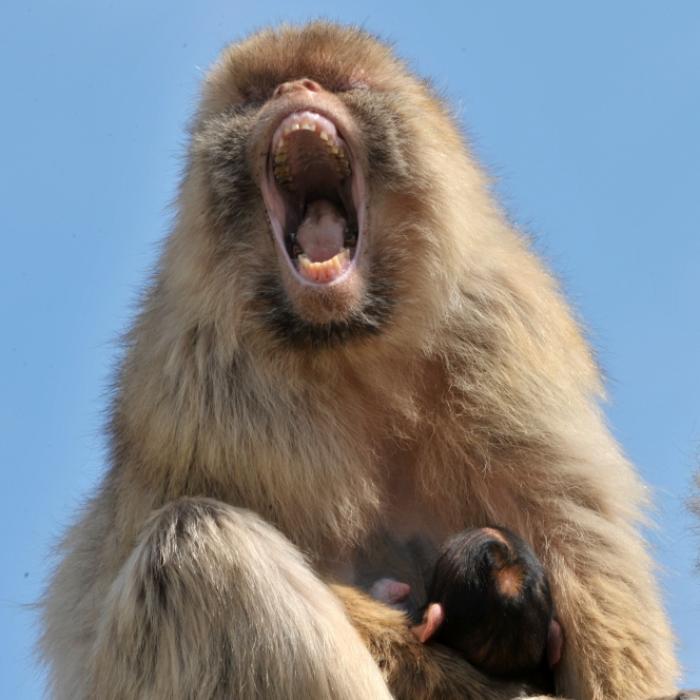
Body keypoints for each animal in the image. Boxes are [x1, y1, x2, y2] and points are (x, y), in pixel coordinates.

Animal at [39, 21, 690, 700]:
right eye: (258, 93)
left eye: (336, 79)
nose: (295, 87)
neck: (349, 342)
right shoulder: (191, 384)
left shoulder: (502, 334)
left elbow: (579, 534)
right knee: (194, 544)